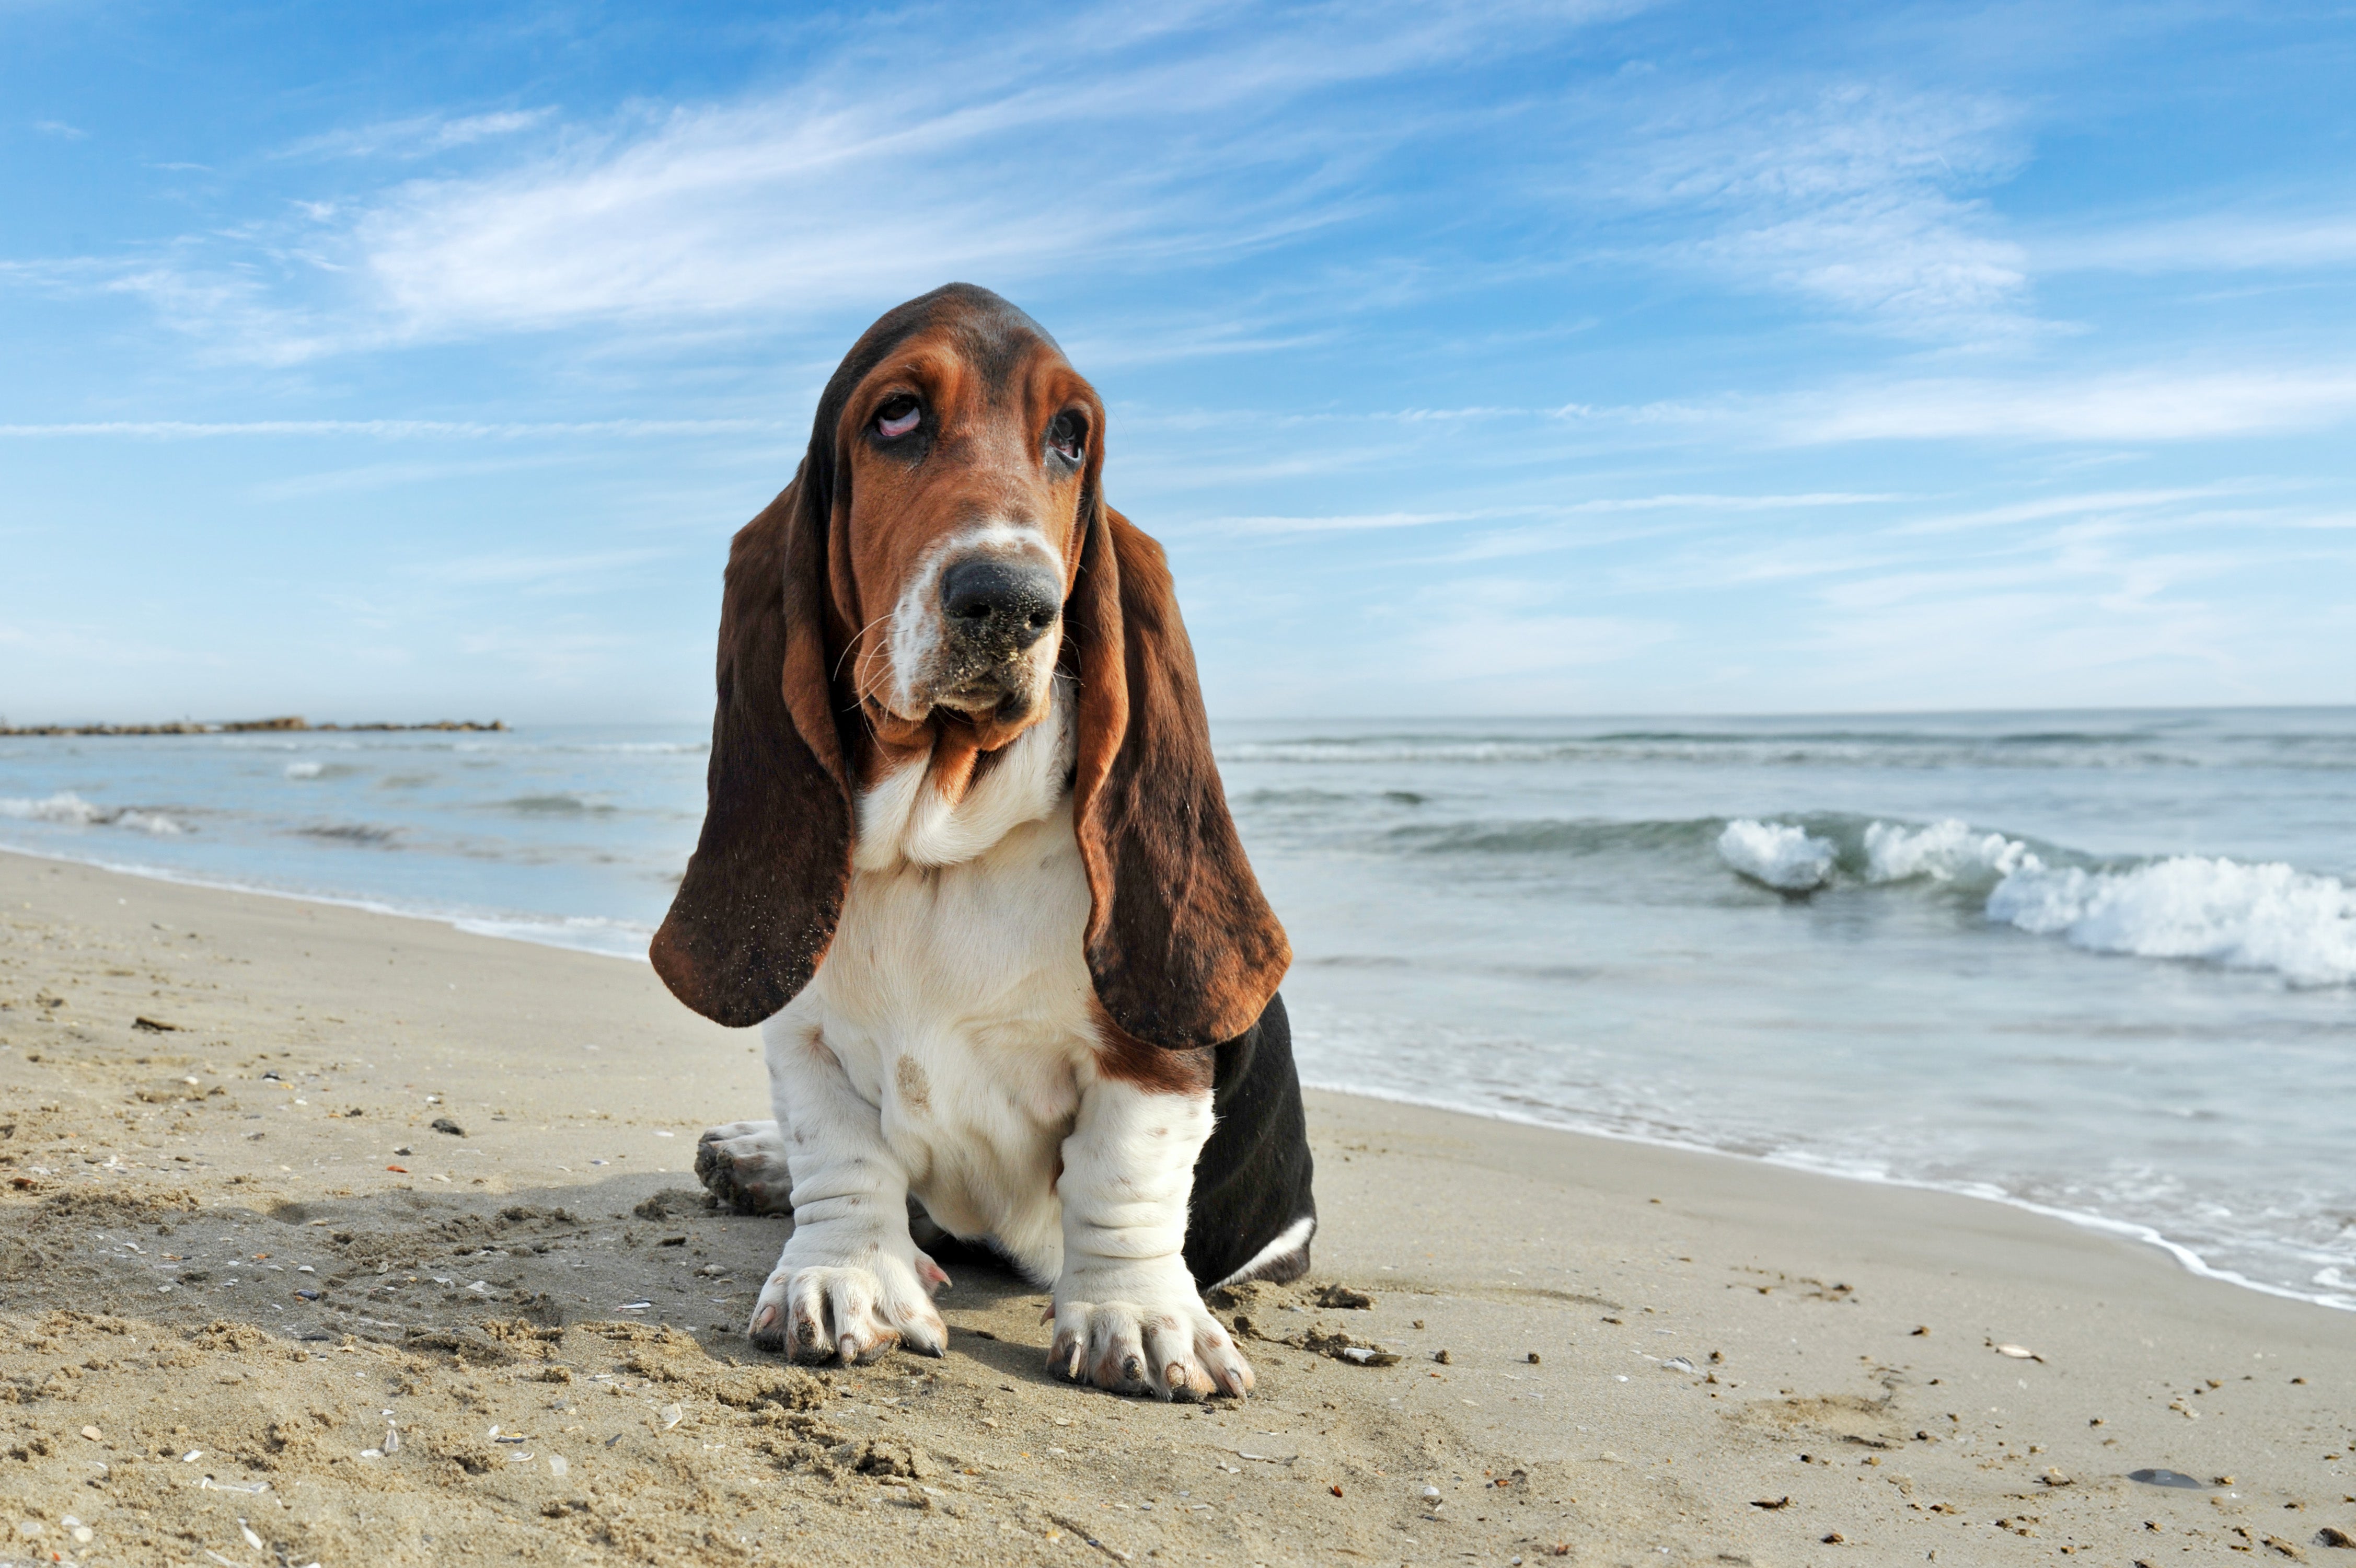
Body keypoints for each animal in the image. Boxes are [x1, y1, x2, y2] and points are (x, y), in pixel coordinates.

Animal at [655, 278, 1319, 1396]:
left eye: (1070, 437)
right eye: (896, 415)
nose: (1009, 602)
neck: (942, 852)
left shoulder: (1151, 1064)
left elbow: (1121, 1175)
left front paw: (1138, 1318)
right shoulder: (804, 1032)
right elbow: (839, 1150)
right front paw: (845, 1276)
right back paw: (752, 1159)